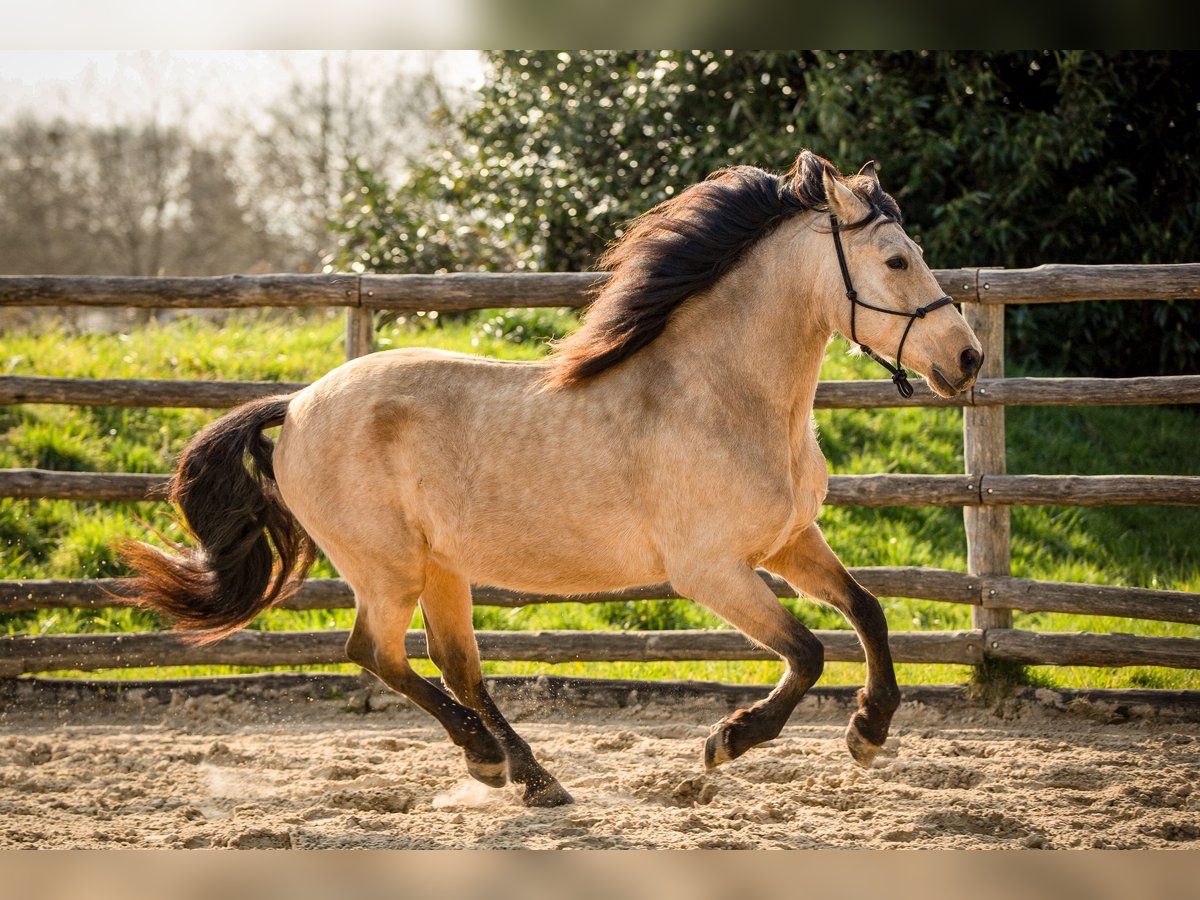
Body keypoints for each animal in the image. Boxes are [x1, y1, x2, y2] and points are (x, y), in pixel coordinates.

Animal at [119, 150, 984, 811]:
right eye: (896, 260)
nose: (968, 358)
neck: (722, 397)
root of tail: (296, 405)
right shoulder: (711, 572)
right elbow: (806, 653)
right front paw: (727, 741)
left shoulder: (789, 541)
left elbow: (868, 612)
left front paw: (869, 733)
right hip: (387, 568)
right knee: (375, 652)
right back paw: (492, 761)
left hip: (441, 566)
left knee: (453, 663)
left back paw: (526, 776)